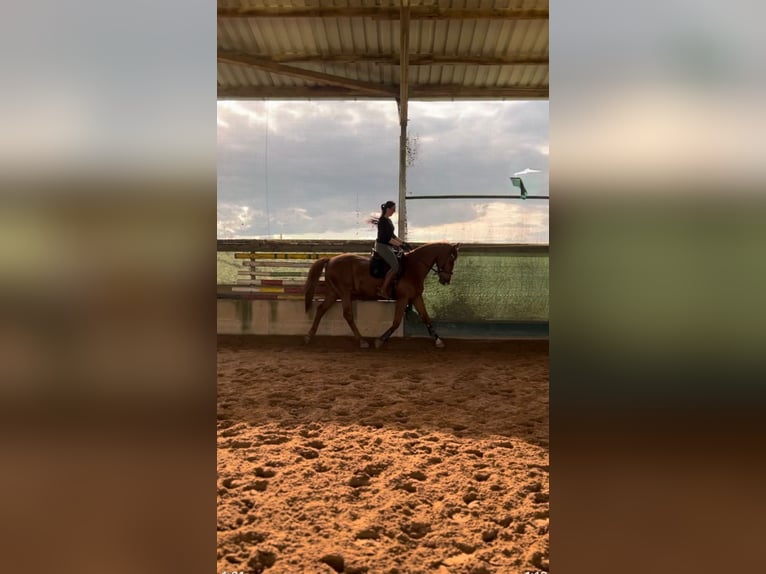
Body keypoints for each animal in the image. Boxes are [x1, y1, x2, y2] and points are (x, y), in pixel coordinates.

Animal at [306, 242, 462, 348]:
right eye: (451, 259)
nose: (446, 280)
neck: (414, 268)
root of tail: (330, 259)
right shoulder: (403, 298)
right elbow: (396, 322)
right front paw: (380, 340)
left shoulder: (416, 297)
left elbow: (426, 317)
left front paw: (438, 340)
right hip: (344, 293)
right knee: (348, 314)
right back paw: (362, 341)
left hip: (334, 293)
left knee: (321, 309)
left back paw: (310, 336)